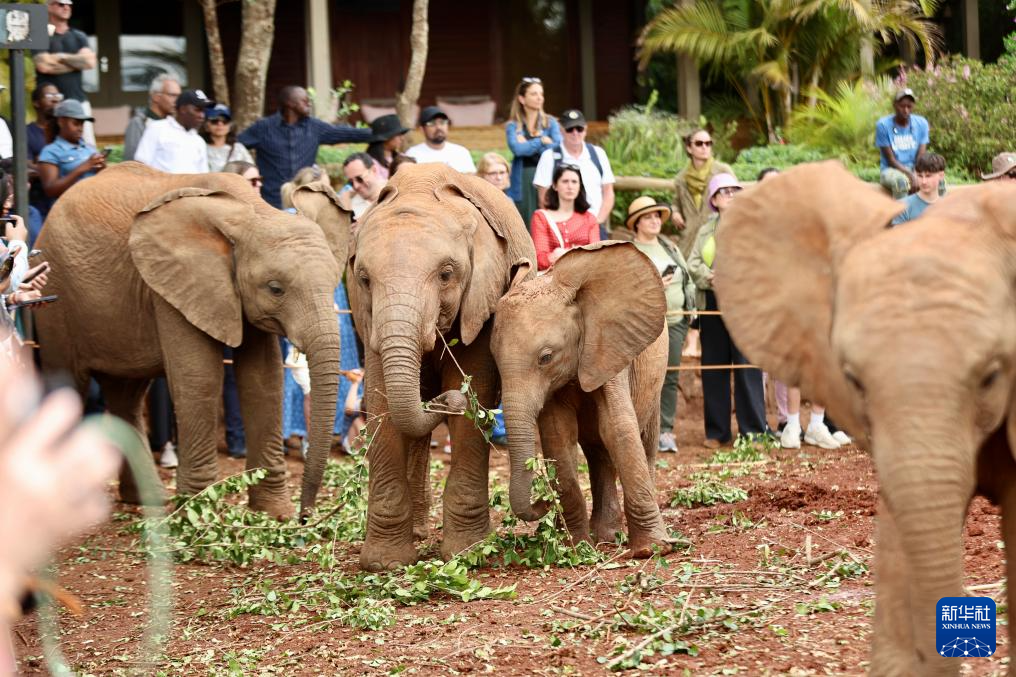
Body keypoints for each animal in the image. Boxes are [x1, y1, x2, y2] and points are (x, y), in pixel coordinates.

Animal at [35, 161, 352, 520]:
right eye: (275, 289)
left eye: (334, 282)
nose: (305, 516)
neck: (255, 212)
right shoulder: (171, 286)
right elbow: (200, 377)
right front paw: (198, 516)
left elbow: (263, 380)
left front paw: (273, 514)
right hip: (53, 293)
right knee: (67, 385)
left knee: (125, 395)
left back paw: (148, 499)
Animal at [348, 163, 536, 571]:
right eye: (365, 280)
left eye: (447, 274)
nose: (446, 399)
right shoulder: (367, 317)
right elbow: (382, 404)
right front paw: (385, 563)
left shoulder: (483, 298)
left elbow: (475, 390)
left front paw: (468, 552)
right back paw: (418, 533)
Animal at [489, 242, 672, 557]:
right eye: (493, 358)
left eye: (546, 357)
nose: (543, 502)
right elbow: (558, 435)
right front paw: (574, 546)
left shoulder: (609, 347)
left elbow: (618, 429)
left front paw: (651, 550)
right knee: (598, 453)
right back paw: (604, 536)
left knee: (643, 440)